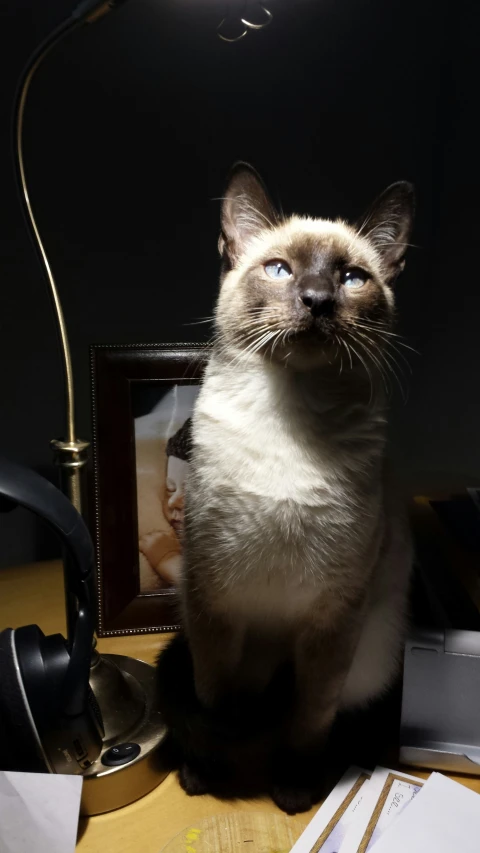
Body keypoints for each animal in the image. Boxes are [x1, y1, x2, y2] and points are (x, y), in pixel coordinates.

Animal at [159, 165, 414, 812]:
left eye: (351, 278)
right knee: (236, 706)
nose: (318, 301)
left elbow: (309, 722)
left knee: (326, 711)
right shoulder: (214, 605)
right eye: (280, 270)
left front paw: (294, 791)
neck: (291, 420)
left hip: (371, 649)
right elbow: (212, 706)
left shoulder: (333, 620)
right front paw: (207, 776)